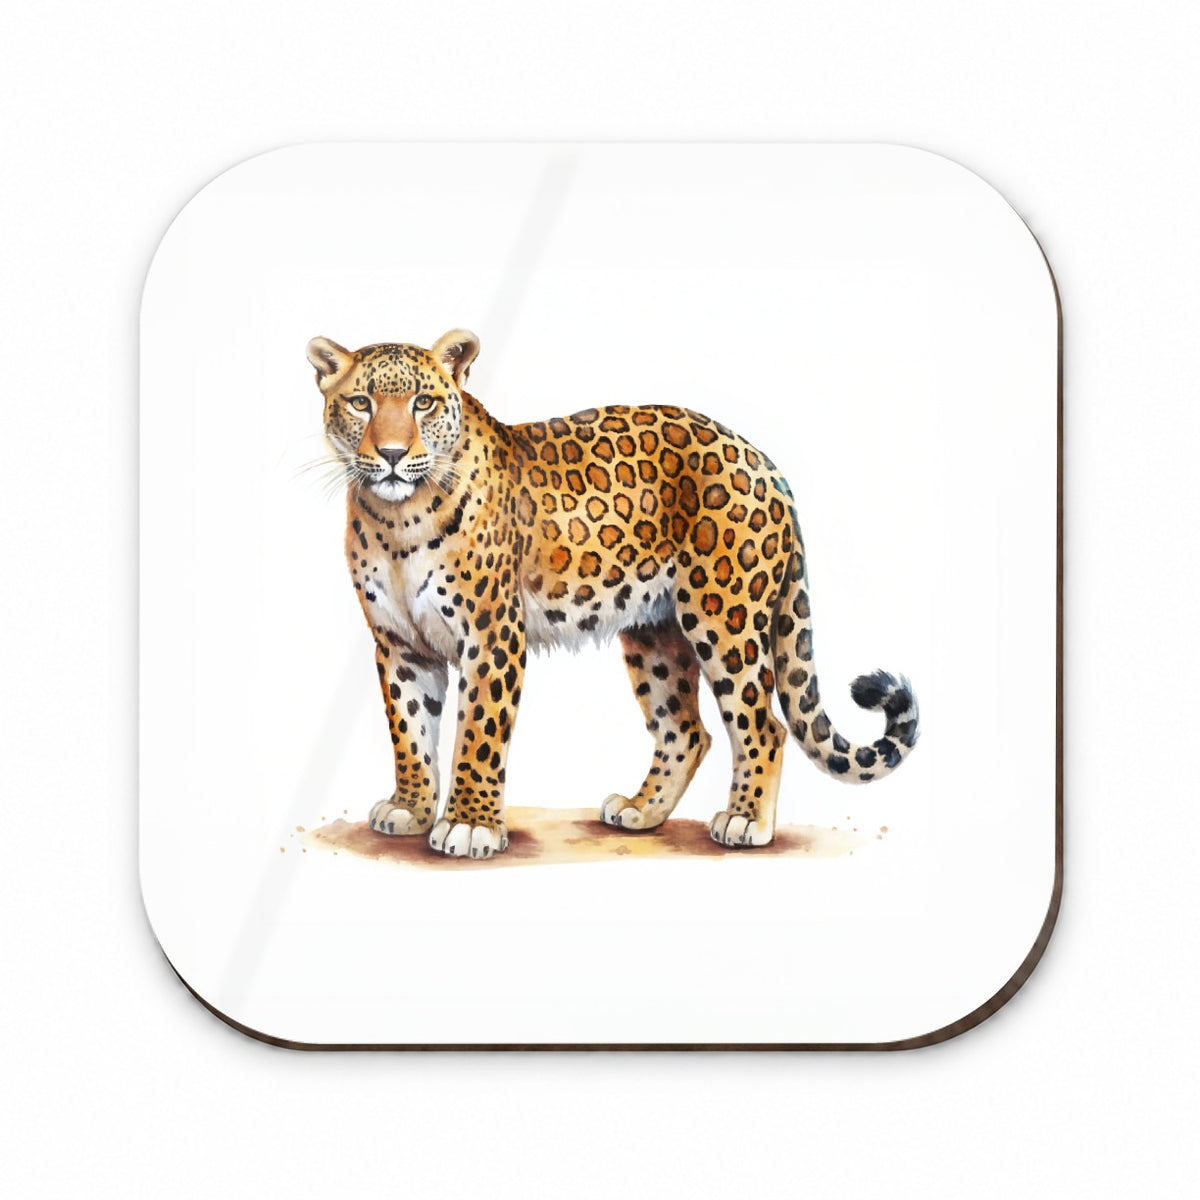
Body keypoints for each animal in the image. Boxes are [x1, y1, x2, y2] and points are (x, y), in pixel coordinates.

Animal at [306, 328, 919, 859]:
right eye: (360, 402)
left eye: (424, 404)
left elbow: (478, 733)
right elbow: (410, 730)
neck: (396, 518)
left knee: (761, 725)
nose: (390, 453)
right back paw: (641, 811)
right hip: (655, 633)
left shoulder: (492, 637)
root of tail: (764, 462)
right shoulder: (400, 644)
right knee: (686, 731)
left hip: (726, 619)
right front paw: (410, 809)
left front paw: (469, 825)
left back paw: (746, 821)